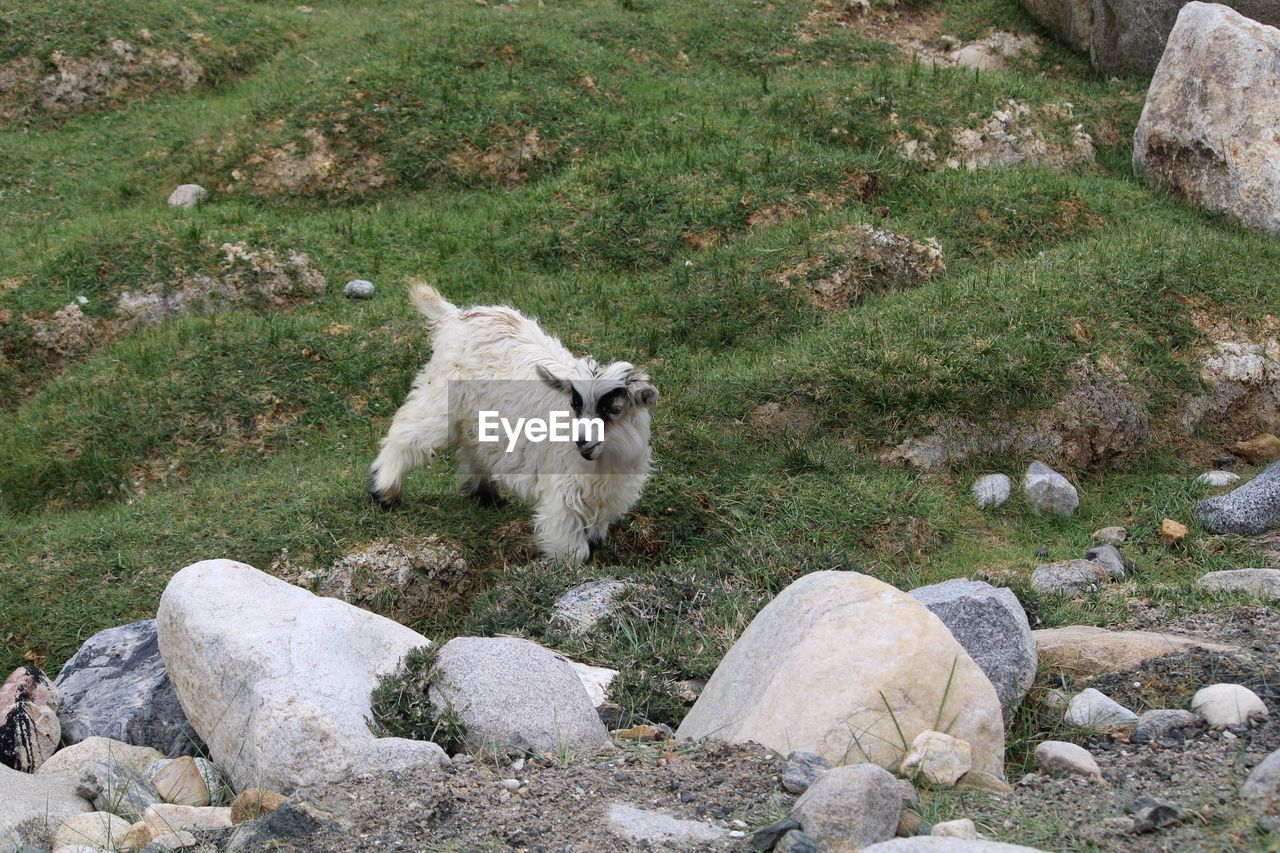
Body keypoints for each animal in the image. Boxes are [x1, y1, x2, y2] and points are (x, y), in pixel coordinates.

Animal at [368, 280, 650, 563]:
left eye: (614, 409)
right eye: (575, 404)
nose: (581, 441)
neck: (604, 464)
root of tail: (454, 316)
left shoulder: (607, 496)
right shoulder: (563, 493)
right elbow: (568, 546)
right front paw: (569, 566)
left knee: (472, 448)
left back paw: (486, 494)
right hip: (442, 401)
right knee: (407, 431)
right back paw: (384, 490)